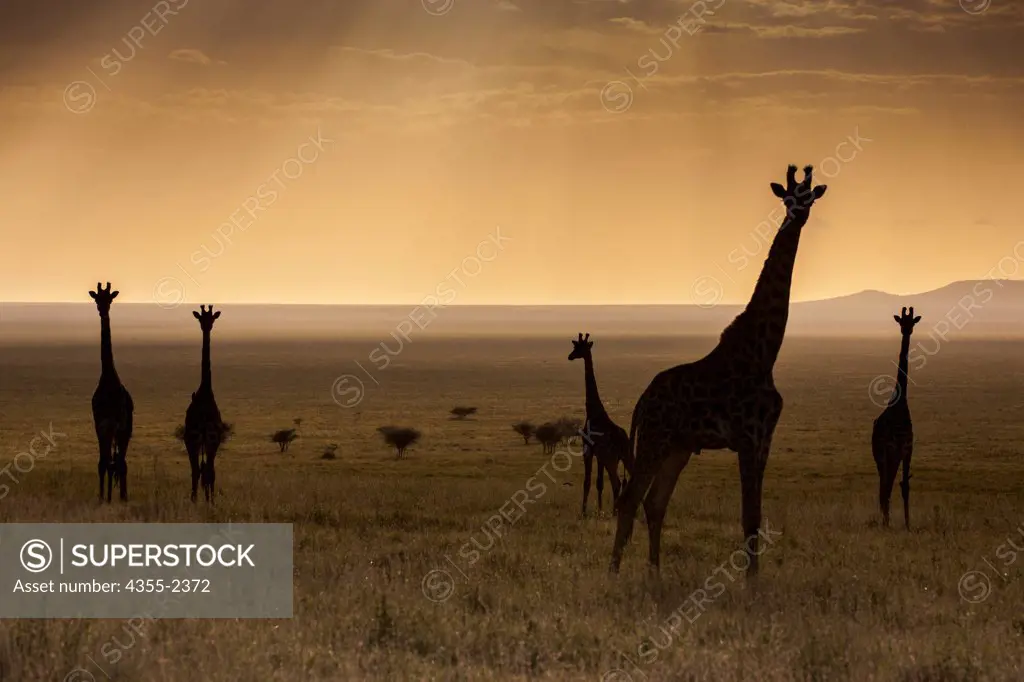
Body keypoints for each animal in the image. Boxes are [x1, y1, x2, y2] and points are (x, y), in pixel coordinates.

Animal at [569, 329, 630, 516]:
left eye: (579, 348)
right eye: (574, 346)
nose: (570, 356)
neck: (593, 412)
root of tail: (622, 441)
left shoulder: (588, 449)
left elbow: (588, 482)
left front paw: (583, 512)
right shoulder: (600, 455)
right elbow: (599, 483)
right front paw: (600, 510)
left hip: (612, 459)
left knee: (617, 483)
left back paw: (616, 512)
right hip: (625, 457)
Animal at [606, 163, 823, 573]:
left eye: (808, 196)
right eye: (787, 197)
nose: (797, 214)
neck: (764, 352)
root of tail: (642, 401)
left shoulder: (764, 439)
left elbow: (755, 516)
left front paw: (755, 580)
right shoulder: (747, 438)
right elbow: (749, 518)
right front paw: (752, 584)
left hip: (678, 447)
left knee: (654, 502)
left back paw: (655, 573)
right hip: (655, 440)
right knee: (630, 500)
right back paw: (613, 573)